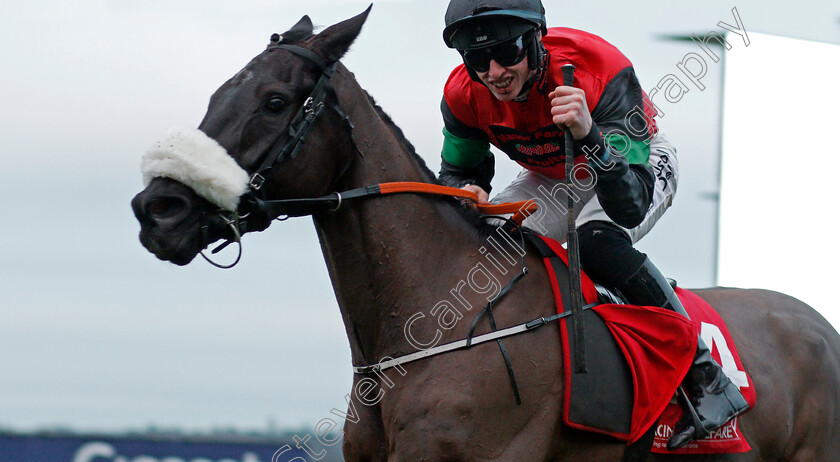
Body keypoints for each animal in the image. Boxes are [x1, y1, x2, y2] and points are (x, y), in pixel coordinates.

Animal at [130, 8, 840, 462]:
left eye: (275, 101)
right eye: (218, 94)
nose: (156, 209)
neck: (432, 326)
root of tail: (817, 323)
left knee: (607, 234)